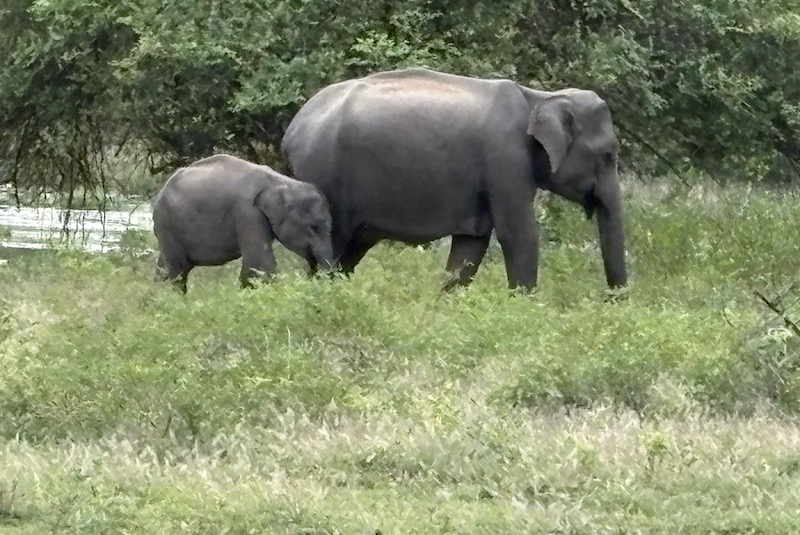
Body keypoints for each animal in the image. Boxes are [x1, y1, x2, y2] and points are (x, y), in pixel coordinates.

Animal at [152, 153, 335, 293]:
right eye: (312, 228)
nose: (311, 275)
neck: (279, 182)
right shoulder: (248, 213)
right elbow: (260, 263)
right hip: (167, 224)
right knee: (178, 272)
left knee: (166, 268)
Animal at [281, 67, 627, 291]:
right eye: (609, 154)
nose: (612, 299)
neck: (540, 97)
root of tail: (293, 129)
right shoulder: (505, 158)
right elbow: (519, 234)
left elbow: (470, 247)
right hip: (325, 177)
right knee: (330, 249)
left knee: (348, 254)